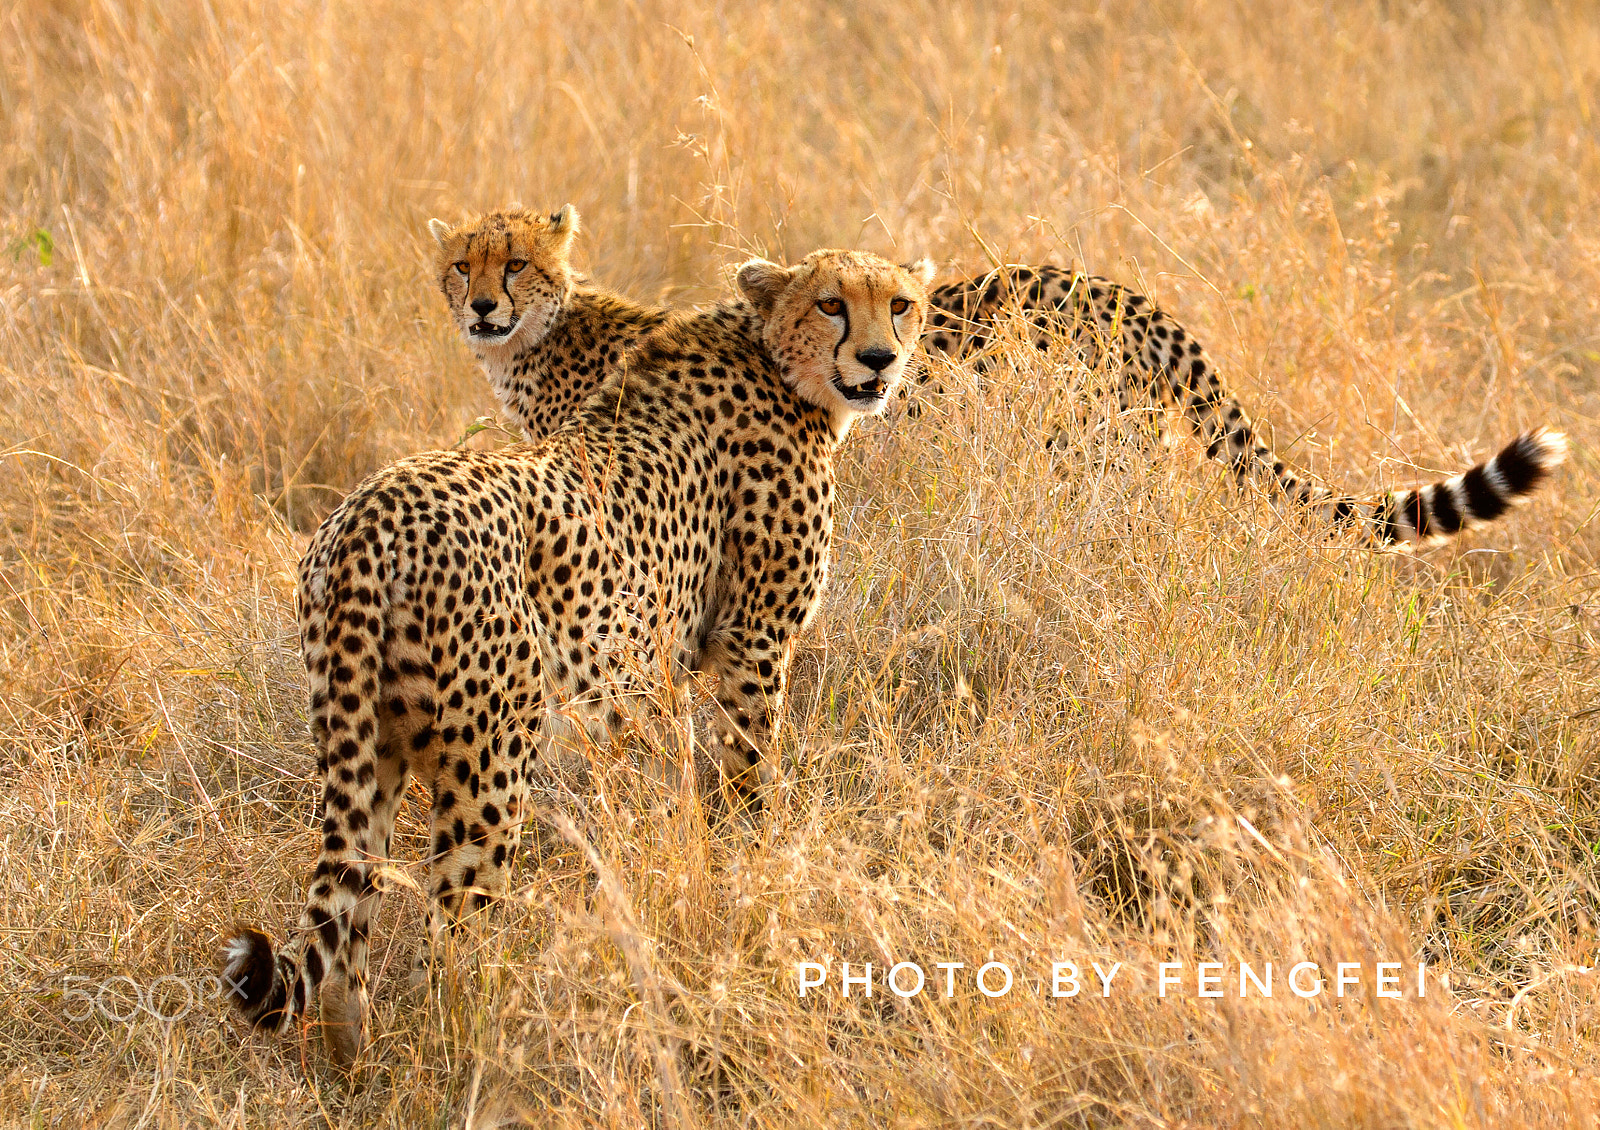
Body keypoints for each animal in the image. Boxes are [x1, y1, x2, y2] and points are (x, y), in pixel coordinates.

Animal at [221, 242, 935, 1068]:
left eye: (900, 303)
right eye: (831, 304)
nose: (880, 360)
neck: (771, 355)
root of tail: (376, 505)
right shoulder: (753, 644)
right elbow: (751, 779)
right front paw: (760, 870)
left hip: (367, 743)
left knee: (346, 920)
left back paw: (352, 1058)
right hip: (489, 759)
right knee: (454, 928)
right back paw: (484, 1048)